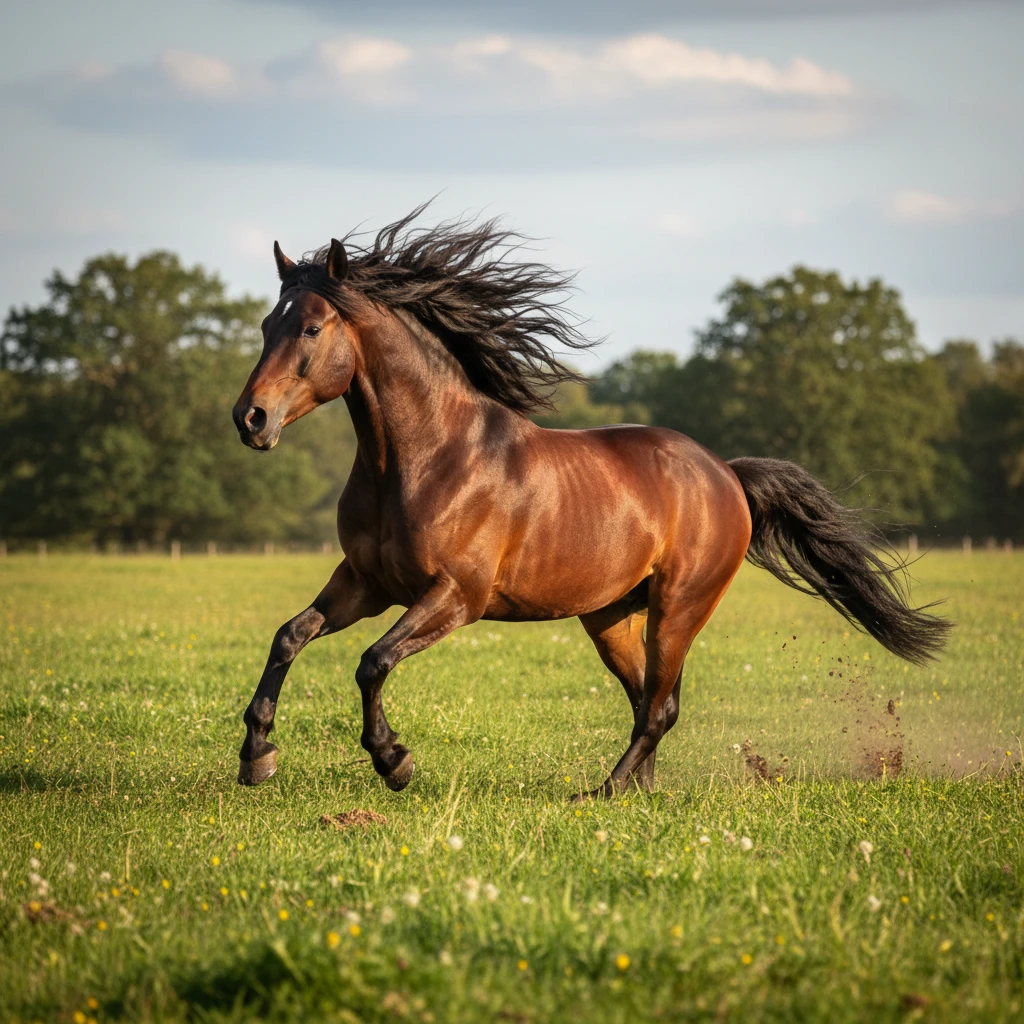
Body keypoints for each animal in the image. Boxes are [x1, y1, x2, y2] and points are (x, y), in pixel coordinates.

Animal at [231, 209, 950, 798]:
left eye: (312, 328)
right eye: (267, 324)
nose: (250, 418)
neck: (424, 459)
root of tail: (724, 472)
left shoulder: (455, 597)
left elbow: (372, 662)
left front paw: (394, 761)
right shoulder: (366, 583)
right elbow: (289, 636)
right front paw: (257, 755)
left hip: (679, 607)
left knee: (659, 707)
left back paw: (602, 793)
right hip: (610, 617)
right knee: (647, 700)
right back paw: (638, 791)